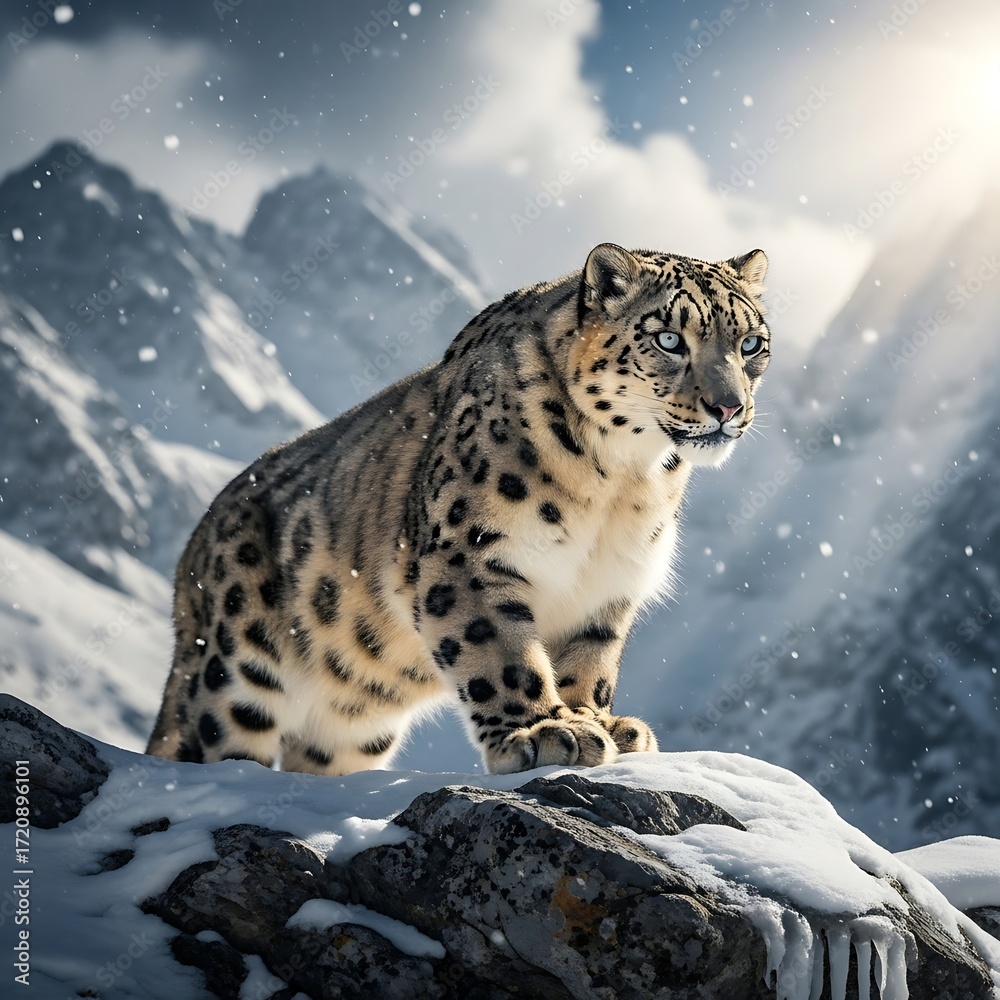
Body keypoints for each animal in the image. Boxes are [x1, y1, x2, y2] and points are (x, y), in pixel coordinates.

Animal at [146, 242, 771, 775]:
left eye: (751, 345)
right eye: (668, 339)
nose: (728, 407)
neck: (621, 479)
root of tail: (190, 556)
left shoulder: (610, 584)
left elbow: (590, 663)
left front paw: (598, 722)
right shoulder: (471, 554)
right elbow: (500, 651)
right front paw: (545, 731)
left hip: (353, 723)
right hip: (235, 668)